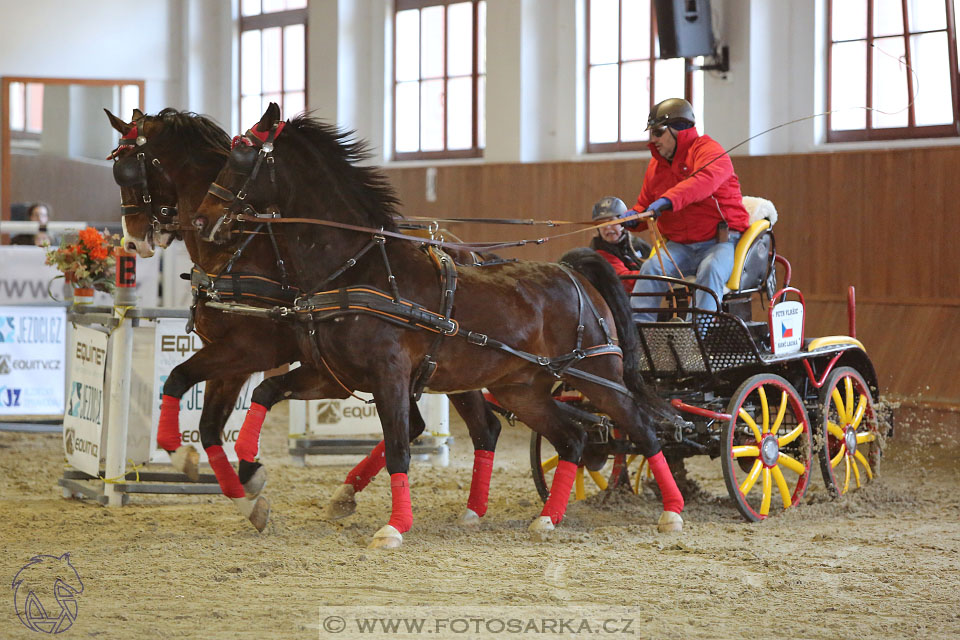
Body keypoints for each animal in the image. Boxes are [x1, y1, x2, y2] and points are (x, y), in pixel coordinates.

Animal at [107, 109, 502, 528]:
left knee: (480, 428)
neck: (234, 251)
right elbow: (209, 425)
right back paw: (351, 494)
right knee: (433, 426)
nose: (133, 242)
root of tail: (469, 252)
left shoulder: (251, 349)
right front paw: (246, 494)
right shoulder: (233, 357)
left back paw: (469, 509)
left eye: (127, 170)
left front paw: (187, 456)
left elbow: (180, 380)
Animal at [191, 105, 688, 552]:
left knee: (640, 429)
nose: (202, 219)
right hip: (520, 388)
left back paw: (671, 512)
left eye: (241, 156)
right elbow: (266, 391)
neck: (358, 268)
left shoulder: (389, 375)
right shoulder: (334, 376)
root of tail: (574, 272)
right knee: (573, 438)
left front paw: (394, 527)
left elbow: (398, 446)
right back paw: (547, 518)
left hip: (598, 376)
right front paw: (250, 471)